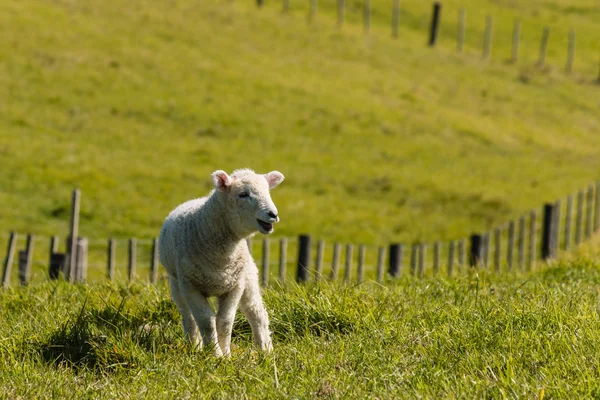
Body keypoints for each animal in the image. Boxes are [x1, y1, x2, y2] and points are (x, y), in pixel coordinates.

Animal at [157, 167, 284, 354]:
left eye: (267, 192)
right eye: (243, 194)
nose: (273, 214)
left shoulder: (235, 286)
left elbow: (225, 321)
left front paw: (226, 354)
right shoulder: (190, 287)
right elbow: (207, 322)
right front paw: (214, 353)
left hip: (248, 277)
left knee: (256, 312)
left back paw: (265, 351)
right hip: (176, 284)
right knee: (188, 316)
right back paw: (194, 345)